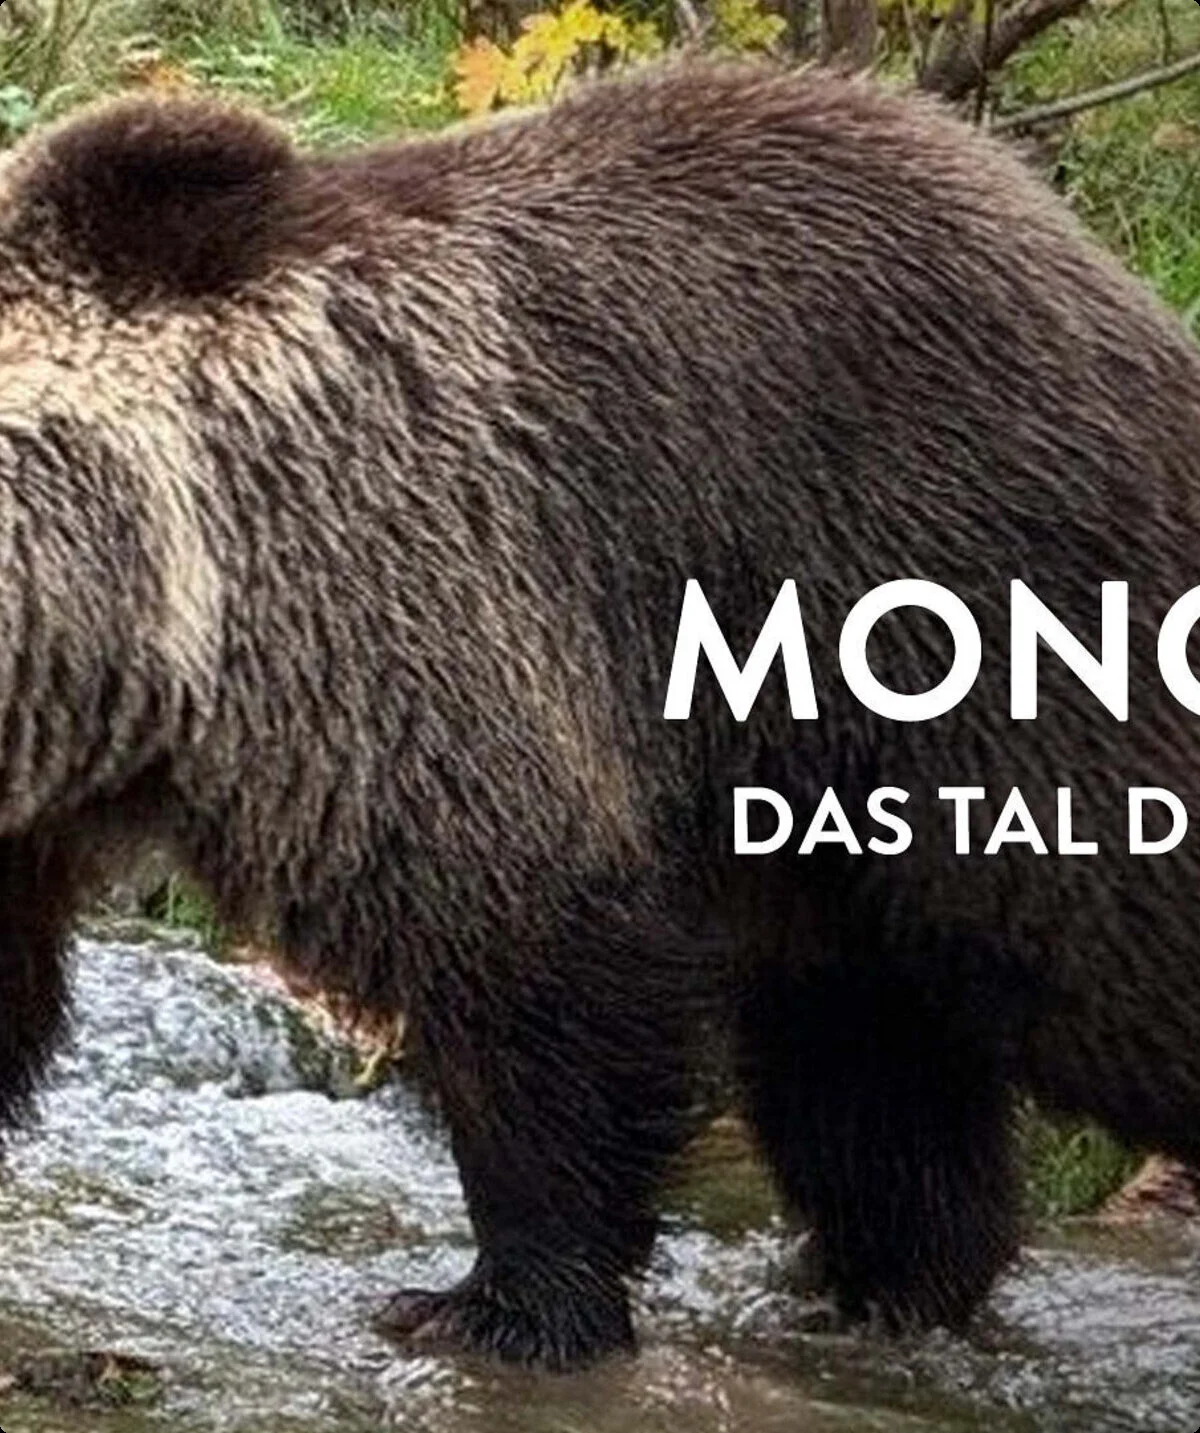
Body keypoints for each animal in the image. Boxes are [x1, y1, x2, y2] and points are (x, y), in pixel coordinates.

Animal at [1, 58, 1200, 1372]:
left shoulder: (390, 603)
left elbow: (529, 937)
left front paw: (499, 1301)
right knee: (861, 1051)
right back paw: (881, 1280)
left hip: (974, 591)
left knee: (1111, 937)